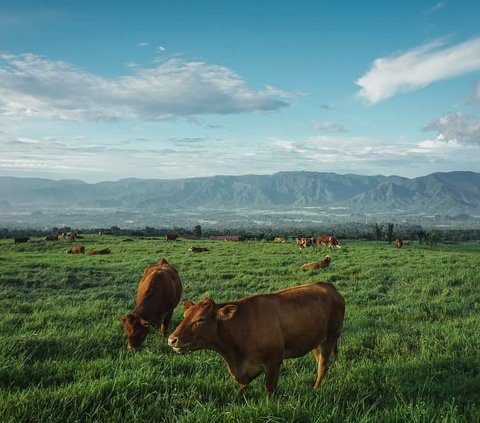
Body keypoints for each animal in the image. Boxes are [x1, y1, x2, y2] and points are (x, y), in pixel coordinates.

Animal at [169, 284, 344, 396]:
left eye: (201, 319)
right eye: (185, 316)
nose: (172, 340)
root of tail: (328, 286)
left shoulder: (273, 362)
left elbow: (269, 389)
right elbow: (243, 386)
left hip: (330, 338)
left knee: (322, 366)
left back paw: (316, 388)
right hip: (315, 341)